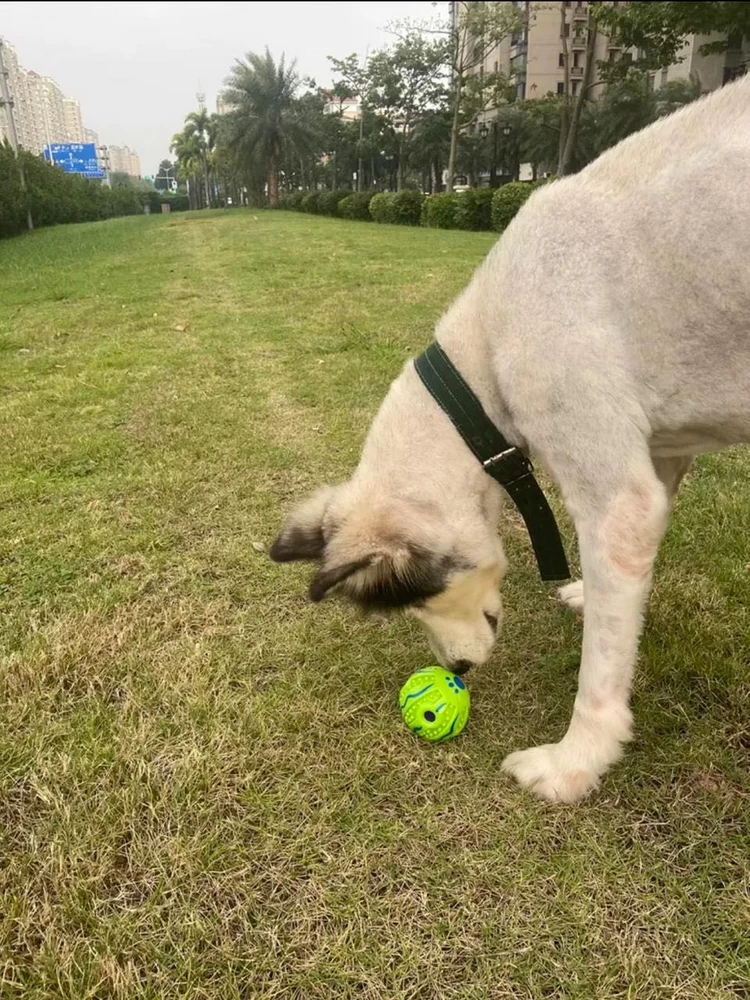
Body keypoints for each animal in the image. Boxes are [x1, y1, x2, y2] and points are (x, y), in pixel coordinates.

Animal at [274, 78, 750, 808]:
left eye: (418, 599)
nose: (458, 669)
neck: (483, 362)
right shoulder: (659, 460)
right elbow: (619, 597)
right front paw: (593, 596)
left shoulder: (619, 499)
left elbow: (601, 669)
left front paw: (576, 762)